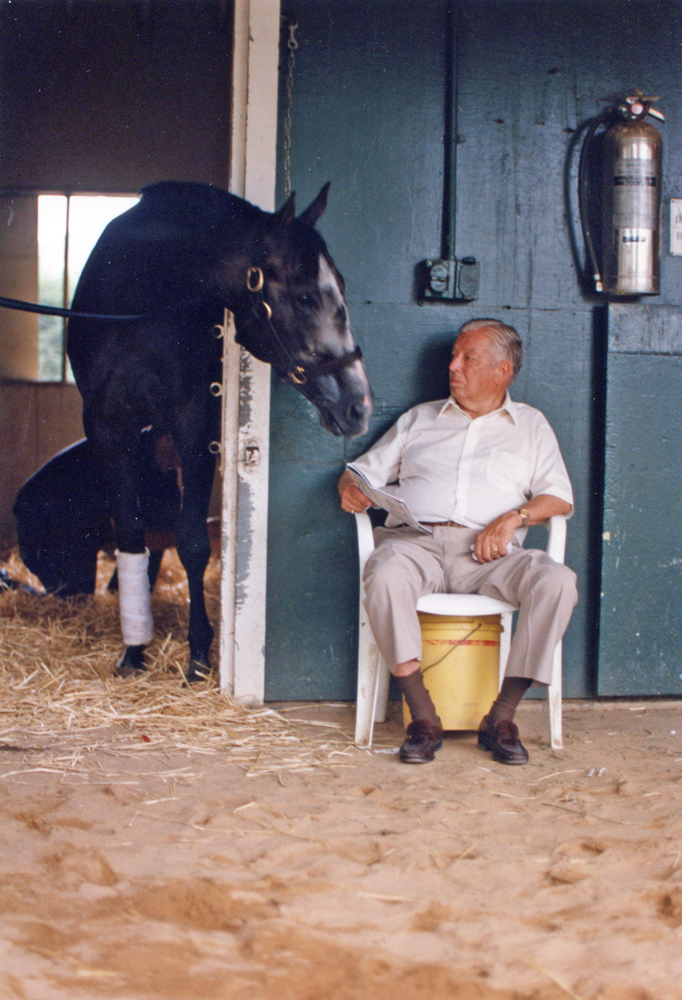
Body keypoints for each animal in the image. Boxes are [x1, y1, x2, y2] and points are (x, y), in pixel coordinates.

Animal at [69, 180, 372, 680]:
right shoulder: (108, 430)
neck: (139, 299)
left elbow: (191, 540)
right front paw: (134, 651)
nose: (358, 404)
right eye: (305, 297)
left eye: (342, 287)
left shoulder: (194, 423)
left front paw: (197, 654)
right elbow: (130, 533)